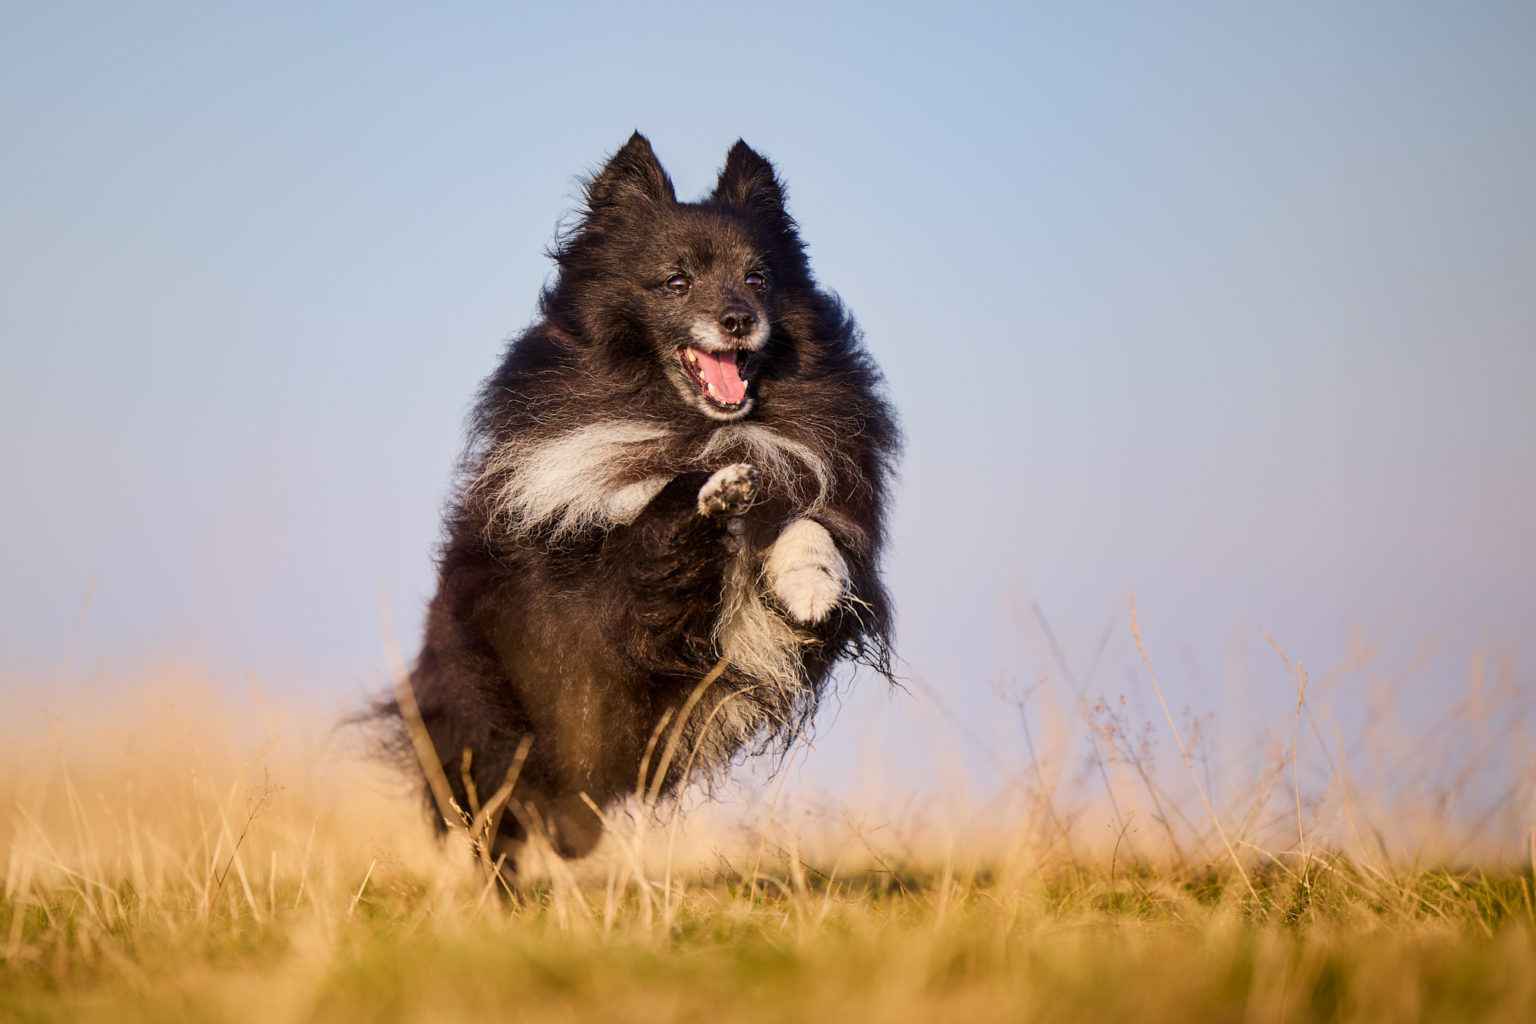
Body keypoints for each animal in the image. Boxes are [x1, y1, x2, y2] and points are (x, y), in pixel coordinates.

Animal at [387, 134, 897, 865]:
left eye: (758, 278)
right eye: (676, 281)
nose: (740, 320)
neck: (689, 422)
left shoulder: (800, 483)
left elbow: (805, 526)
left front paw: (809, 587)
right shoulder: (588, 578)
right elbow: (649, 522)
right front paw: (710, 489)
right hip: (492, 725)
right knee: (494, 820)